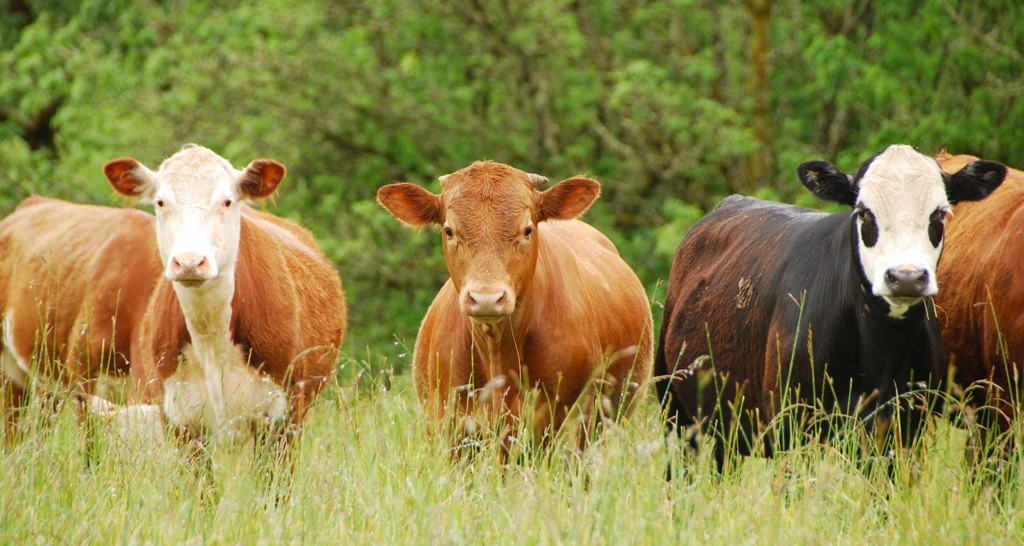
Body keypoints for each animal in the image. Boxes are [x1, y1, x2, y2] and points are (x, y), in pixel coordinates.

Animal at [89, 144, 347, 464]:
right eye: (161, 202)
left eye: (226, 201)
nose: (189, 261)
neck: (211, 338)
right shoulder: (180, 422)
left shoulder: (281, 419)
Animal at [377, 161, 653, 457]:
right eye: (449, 230)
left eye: (527, 229)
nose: (486, 297)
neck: (498, 353)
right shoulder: (451, 429)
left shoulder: (569, 424)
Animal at [654, 144, 1006, 469]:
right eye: (864, 212)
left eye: (940, 214)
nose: (906, 277)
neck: (879, 356)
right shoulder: (793, 428)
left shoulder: (903, 434)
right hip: (675, 414)